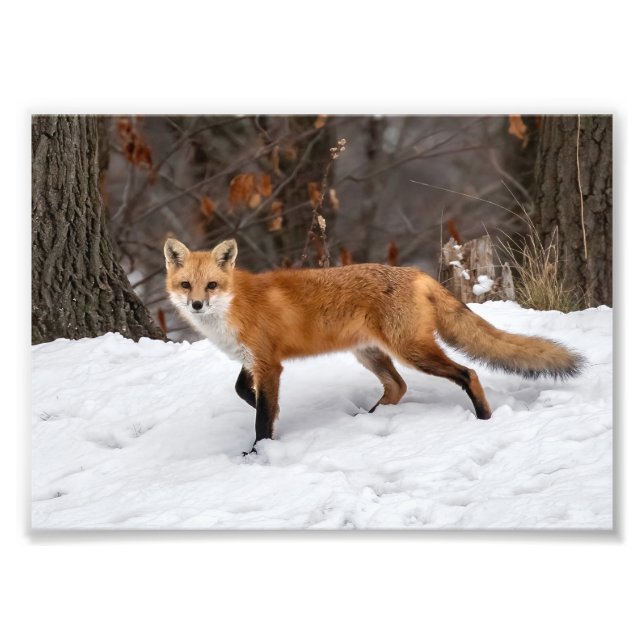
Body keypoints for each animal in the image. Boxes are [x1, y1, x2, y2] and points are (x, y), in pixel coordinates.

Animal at [164, 238, 584, 455]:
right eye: (186, 285)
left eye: (212, 285)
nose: (196, 304)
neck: (233, 307)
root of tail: (417, 273)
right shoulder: (254, 361)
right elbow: (243, 392)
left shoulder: (269, 364)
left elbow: (262, 417)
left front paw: (259, 453)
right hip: (369, 353)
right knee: (397, 386)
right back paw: (370, 419)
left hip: (411, 351)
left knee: (468, 372)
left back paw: (484, 418)